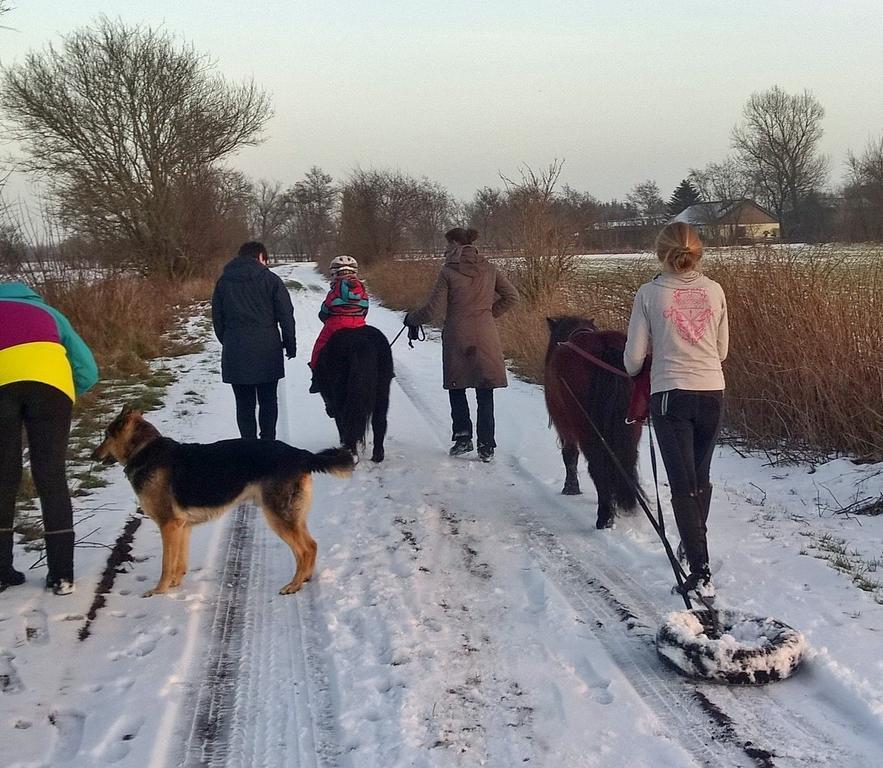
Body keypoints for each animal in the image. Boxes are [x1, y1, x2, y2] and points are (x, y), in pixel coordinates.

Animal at [90, 404, 352, 596]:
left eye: (106, 436)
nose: (92, 456)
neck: (144, 450)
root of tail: (301, 455)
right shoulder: (181, 527)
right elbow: (178, 563)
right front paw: (174, 585)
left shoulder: (168, 525)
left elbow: (166, 563)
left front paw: (159, 591)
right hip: (291, 517)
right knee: (310, 547)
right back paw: (304, 578)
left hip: (279, 517)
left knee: (306, 549)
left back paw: (293, 586)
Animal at [310, 324, 394, 462]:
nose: (329, 412)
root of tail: (360, 342)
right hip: (382, 392)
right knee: (379, 421)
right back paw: (377, 456)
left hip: (341, 395)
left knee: (346, 421)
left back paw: (350, 453)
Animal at [544, 316, 644, 528]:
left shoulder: (565, 426)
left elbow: (570, 455)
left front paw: (570, 488)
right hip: (632, 425)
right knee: (627, 460)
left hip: (585, 427)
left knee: (597, 465)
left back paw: (604, 516)